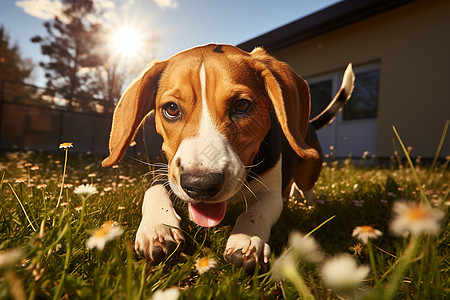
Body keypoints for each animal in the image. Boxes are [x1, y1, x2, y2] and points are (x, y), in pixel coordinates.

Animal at [102, 44, 356, 272]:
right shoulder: (164, 170)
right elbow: (154, 193)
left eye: (241, 105)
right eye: (171, 109)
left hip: (308, 173)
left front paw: (248, 240)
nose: (200, 185)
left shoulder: (271, 195)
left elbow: (256, 212)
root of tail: (309, 124)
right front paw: (157, 229)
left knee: (306, 188)